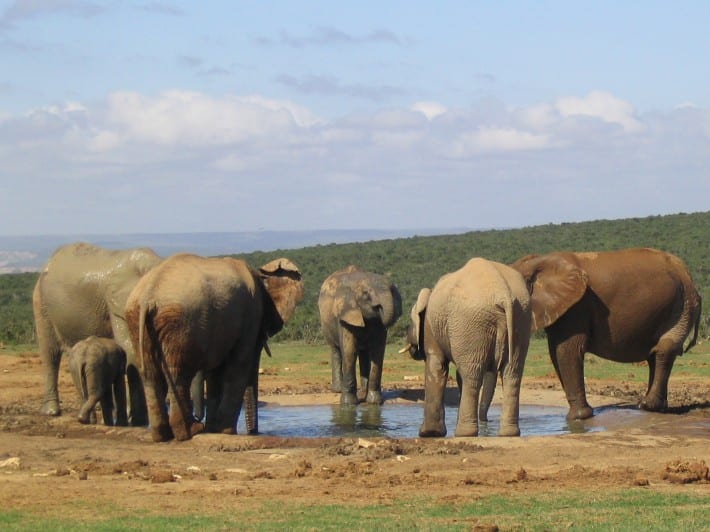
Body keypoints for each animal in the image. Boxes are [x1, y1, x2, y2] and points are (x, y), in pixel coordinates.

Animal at [125, 252, 304, 440]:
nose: (255, 433)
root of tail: (149, 294)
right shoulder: (250, 315)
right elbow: (239, 366)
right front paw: (225, 431)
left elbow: (215, 374)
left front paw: (213, 429)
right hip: (178, 321)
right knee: (178, 373)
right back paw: (190, 431)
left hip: (137, 319)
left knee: (150, 375)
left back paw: (163, 435)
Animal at [320, 264, 404, 406]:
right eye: (366, 294)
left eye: (392, 290)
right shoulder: (345, 313)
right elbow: (350, 351)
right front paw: (348, 404)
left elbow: (378, 351)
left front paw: (375, 402)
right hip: (326, 324)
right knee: (336, 350)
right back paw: (338, 390)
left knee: (364, 354)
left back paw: (362, 395)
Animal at [404, 256, 532, 436]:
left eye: (410, 322)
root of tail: (503, 294)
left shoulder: (431, 328)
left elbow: (437, 366)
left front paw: (428, 434)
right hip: (521, 317)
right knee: (512, 373)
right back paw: (509, 433)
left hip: (470, 321)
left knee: (472, 376)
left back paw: (464, 433)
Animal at [508, 248, 704, 420]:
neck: (540, 262)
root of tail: (687, 273)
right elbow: (555, 353)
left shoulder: (577, 307)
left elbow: (567, 351)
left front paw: (579, 418)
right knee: (655, 354)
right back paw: (656, 407)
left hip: (682, 306)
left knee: (664, 350)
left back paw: (647, 406)